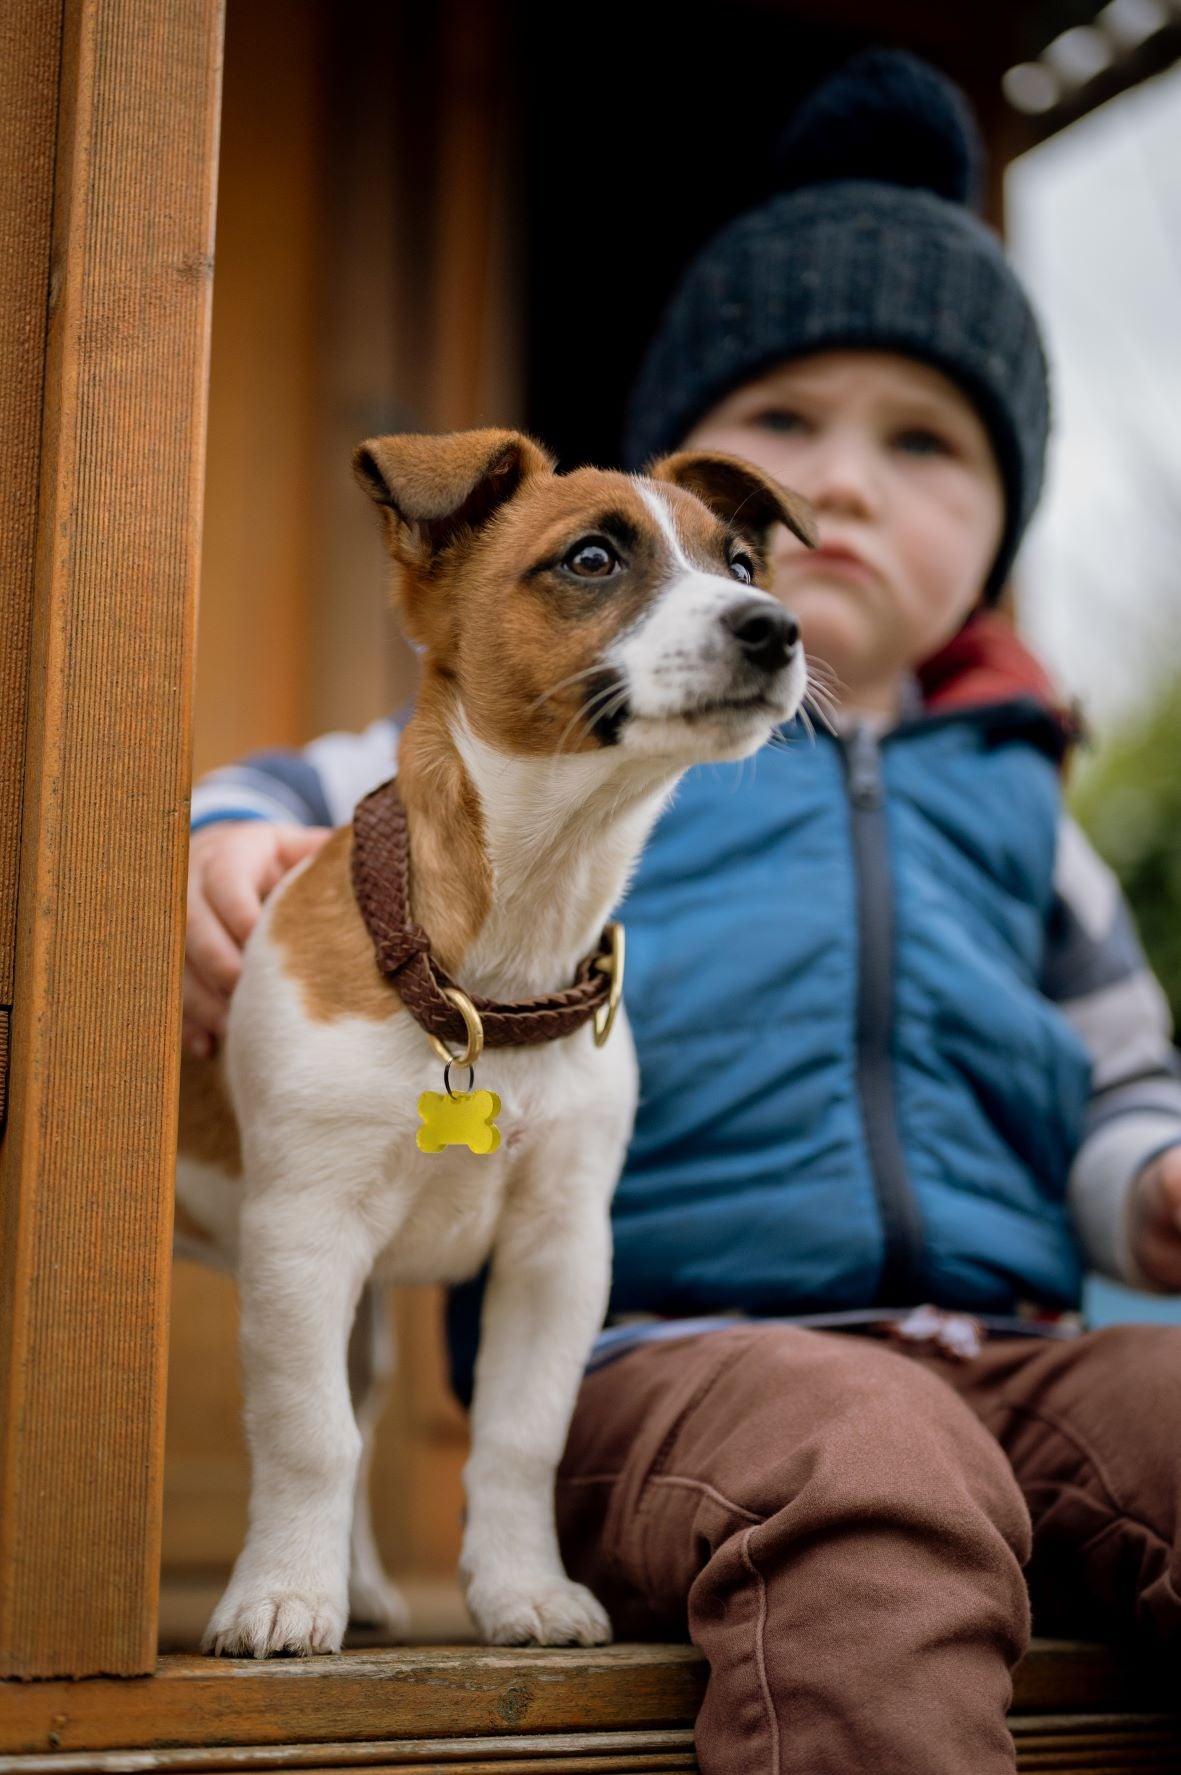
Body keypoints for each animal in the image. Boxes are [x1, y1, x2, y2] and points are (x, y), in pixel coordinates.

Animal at [174, 422, 816, 1654]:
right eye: (590, 560)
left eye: (741, 563)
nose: (773, 626)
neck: (496, 970)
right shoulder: (300, 1238)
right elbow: (305, 1431)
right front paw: (281, 1595)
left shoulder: (556, 1254)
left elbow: (519, 1438)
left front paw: (522, 1589)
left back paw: (367, 1587)